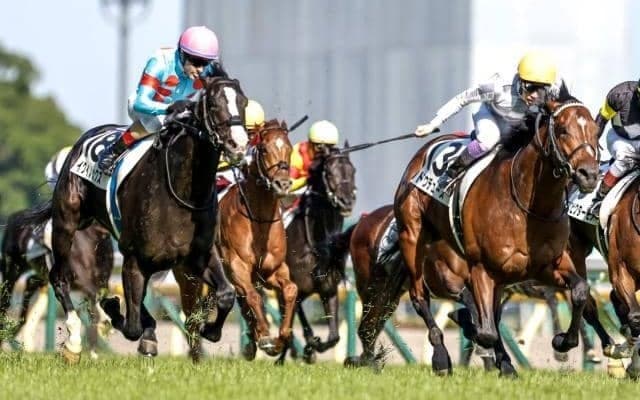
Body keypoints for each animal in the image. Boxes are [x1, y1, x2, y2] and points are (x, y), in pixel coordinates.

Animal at [0, 207, 113, 356]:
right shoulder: (62, 282)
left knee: (26, 301)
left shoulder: (100, 283)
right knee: (5, 301)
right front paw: (74, 345)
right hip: (12, 273)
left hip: (38, 278)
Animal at [13, 71, 250, 363]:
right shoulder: (135, 258)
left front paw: (210, 329)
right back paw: (74, 340)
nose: (239, 145)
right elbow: (132, 325)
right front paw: (121, 316)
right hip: (66, 222)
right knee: (59, 277)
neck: (181, 193)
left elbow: (227, 293)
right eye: (215, 104)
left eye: (243, 102)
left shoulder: (198, 256)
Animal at [276, 147, 356, 364]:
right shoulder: (293, 288)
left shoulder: (329, 289)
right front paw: (309, 346)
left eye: (352, 170)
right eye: (329, 173)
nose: (347, 201)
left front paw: (314, 346)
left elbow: (335, 336)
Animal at [393, 85, 600, 376]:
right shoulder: (482, 267)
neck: (528, 205)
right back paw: (442, 357)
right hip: (412, 237)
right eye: (562, 130)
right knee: (419, 296)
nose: (589, 175)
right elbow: (486, 330)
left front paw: (561, 342)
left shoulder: (547, 265)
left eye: (594, 130)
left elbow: (581, 291)